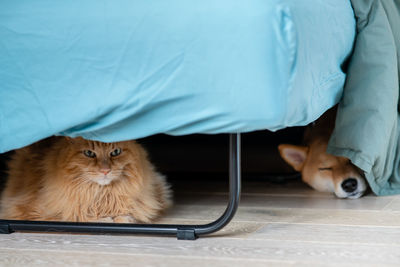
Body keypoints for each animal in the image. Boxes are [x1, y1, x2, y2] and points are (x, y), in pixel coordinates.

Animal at [0, 137, 172, 223]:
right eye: (89, 153)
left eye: (115, 152)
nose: (105, 170)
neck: (101, 195)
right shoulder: (38, 212)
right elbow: (80, 217)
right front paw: (105, 219)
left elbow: (125, 216)